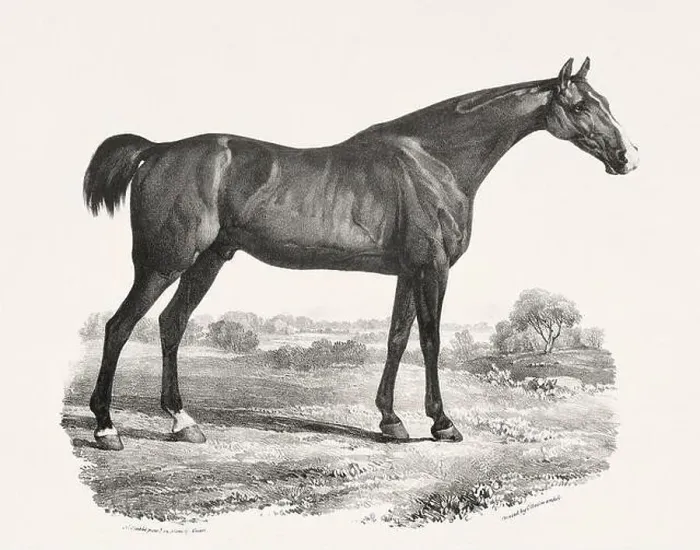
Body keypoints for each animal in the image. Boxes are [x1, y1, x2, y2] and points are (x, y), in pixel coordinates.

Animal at [83, 57, 638, 450]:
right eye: (582, 106)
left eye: (605, 100)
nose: (627, 157)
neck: (433, 160)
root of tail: (158, 150)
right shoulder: (432, 269)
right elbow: (431, 342)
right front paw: (442, 423)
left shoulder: (407, 272)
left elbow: (396, 340)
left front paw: (390, 420)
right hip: (164, 263)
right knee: (119, 327)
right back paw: (107, 429)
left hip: (208, 261)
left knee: (171, 325)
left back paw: (183, 422)